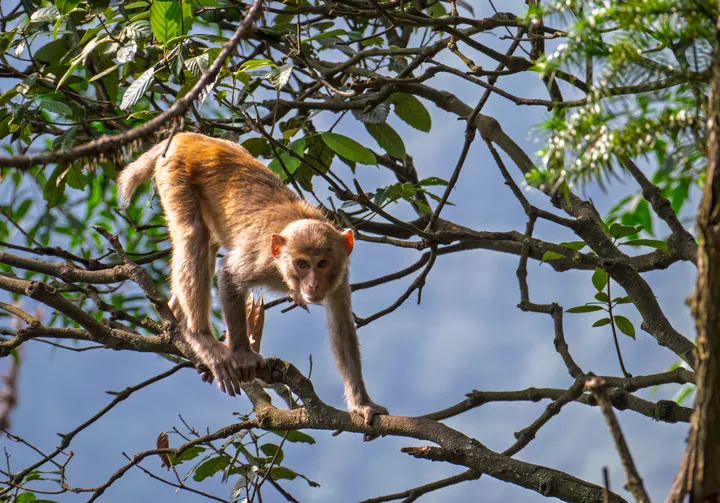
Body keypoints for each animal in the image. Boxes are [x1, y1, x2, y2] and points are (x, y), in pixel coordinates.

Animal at [117, 132, 388, 426]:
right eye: (302, 264)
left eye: (323, 263)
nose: (313, 284)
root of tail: (188, 136)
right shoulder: (264, 263)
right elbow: (229, 273)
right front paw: (242, 354)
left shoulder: (340, 274)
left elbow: (341, 324)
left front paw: (362, 404)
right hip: (176, 173)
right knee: (193, 235)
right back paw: (199, 337)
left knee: (206, 242)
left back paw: (177, 318)